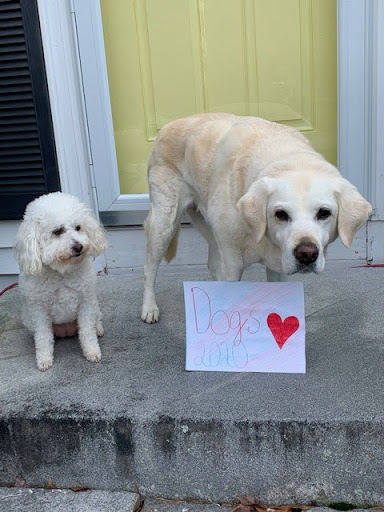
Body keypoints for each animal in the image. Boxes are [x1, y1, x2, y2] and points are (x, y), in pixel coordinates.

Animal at [14, 192, 107, 372]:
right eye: (57, 231)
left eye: (78, 227)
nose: (78, 247)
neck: (61, 273)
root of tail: (65, 330)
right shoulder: (39, 311)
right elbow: (43, 337)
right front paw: (44, 359)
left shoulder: (85, 303)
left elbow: (87, 331)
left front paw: (92, 351)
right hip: (28, 319)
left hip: (94, 305)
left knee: (96, 319)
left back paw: (98, 328)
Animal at [142, 113, 372, 322]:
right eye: (280, 214)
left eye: (324, 213)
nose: (307, 254)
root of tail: (169, 125)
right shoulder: (232, 263)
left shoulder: (278, 266)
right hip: (165, 223)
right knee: (149, 267)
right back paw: (149, 308)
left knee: (212, 264)